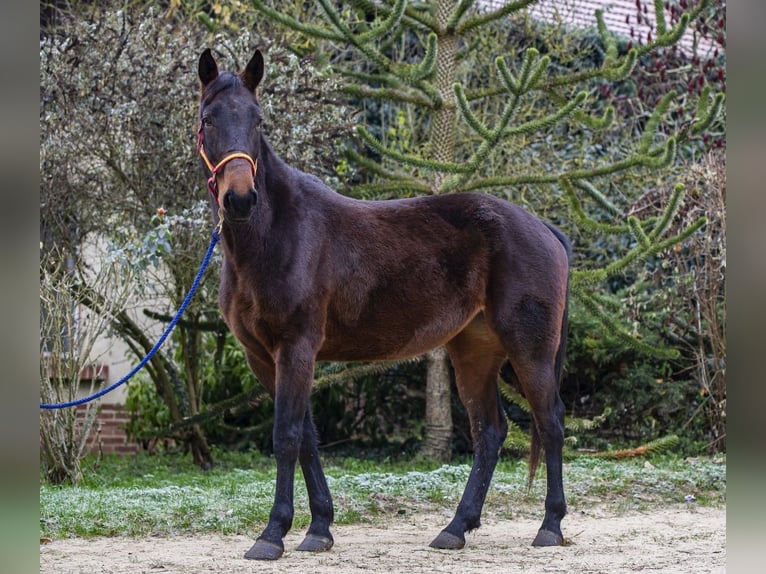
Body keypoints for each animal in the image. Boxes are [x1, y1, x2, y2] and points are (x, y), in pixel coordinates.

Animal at [195, 49, 572, 564]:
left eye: (258, 120)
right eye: (208, 119)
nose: (239, 198)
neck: (277, 235)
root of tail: (543, 229)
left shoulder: (296, 348)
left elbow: (286, 436)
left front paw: (272, 534)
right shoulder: (265, 358)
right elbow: (307, 437)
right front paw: (319, 528)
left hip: (529, 350)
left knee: (549, 423)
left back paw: (549, 525)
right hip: (474, 352)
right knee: (490, 433)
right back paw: (456, 528)